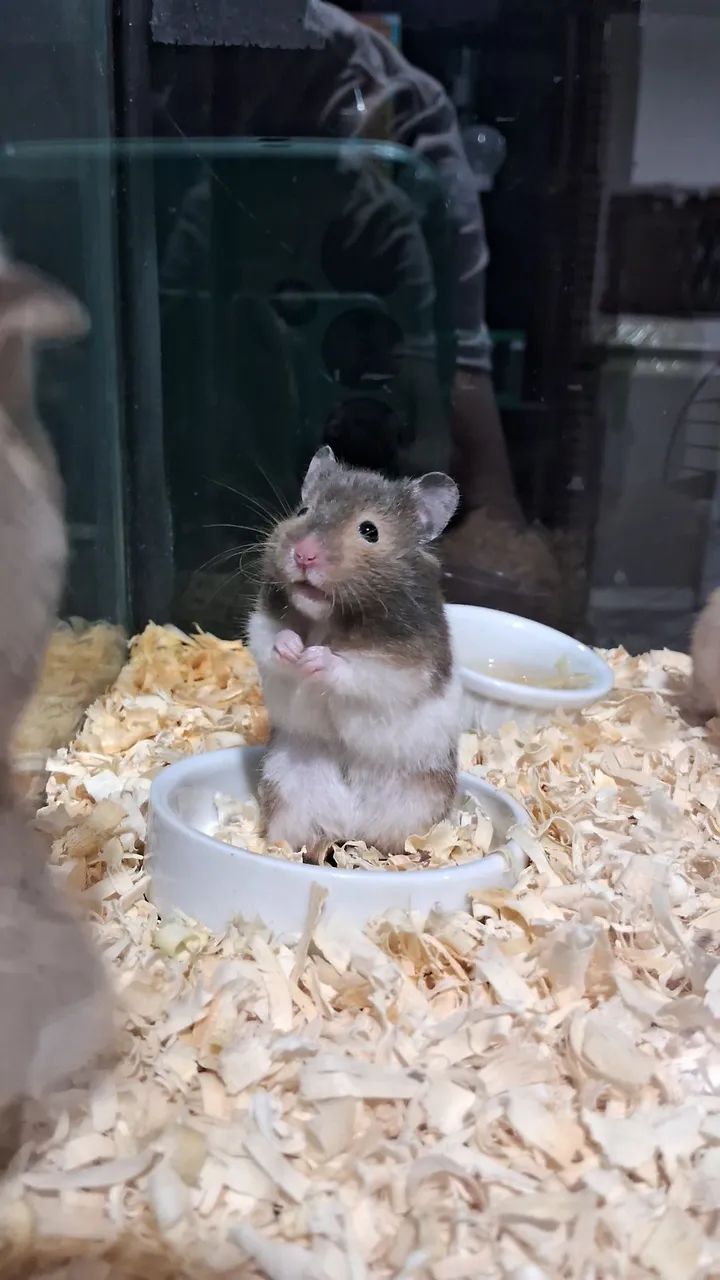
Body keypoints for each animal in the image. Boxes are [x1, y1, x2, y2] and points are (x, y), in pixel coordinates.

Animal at [247, 445, 461, 863]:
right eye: (303, 511)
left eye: (369, 531)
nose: (304, 556)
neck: (330, 617)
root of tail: (352, 823)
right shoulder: (261, 623)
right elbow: (270, 639)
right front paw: (294, 649)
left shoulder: (407, 663)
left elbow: (360, 669)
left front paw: (316, 658)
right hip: (287, 784)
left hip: (421, 798)